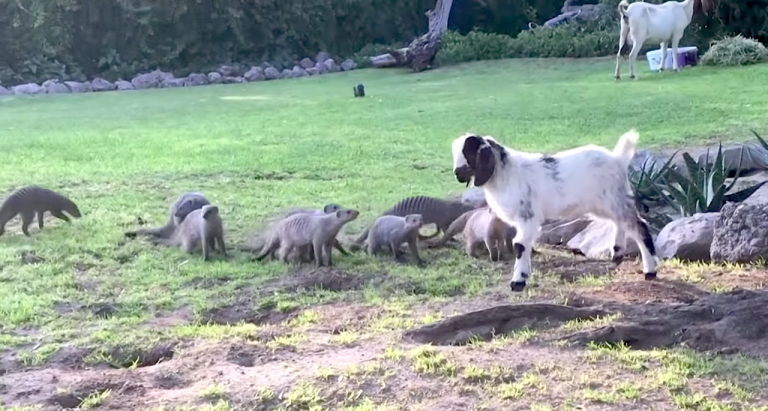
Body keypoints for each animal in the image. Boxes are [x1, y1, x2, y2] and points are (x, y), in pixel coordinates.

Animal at [450, 130, 660, 292]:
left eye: (468, 153)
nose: (457, 174)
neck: (507, 174)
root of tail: (617, 159)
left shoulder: (528, 216)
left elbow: (520, 244)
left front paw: (518, 281)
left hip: (614, 198)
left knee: (639, 226)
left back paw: (650, 271)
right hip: (604, 204)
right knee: (620, 222)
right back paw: (617, 253)